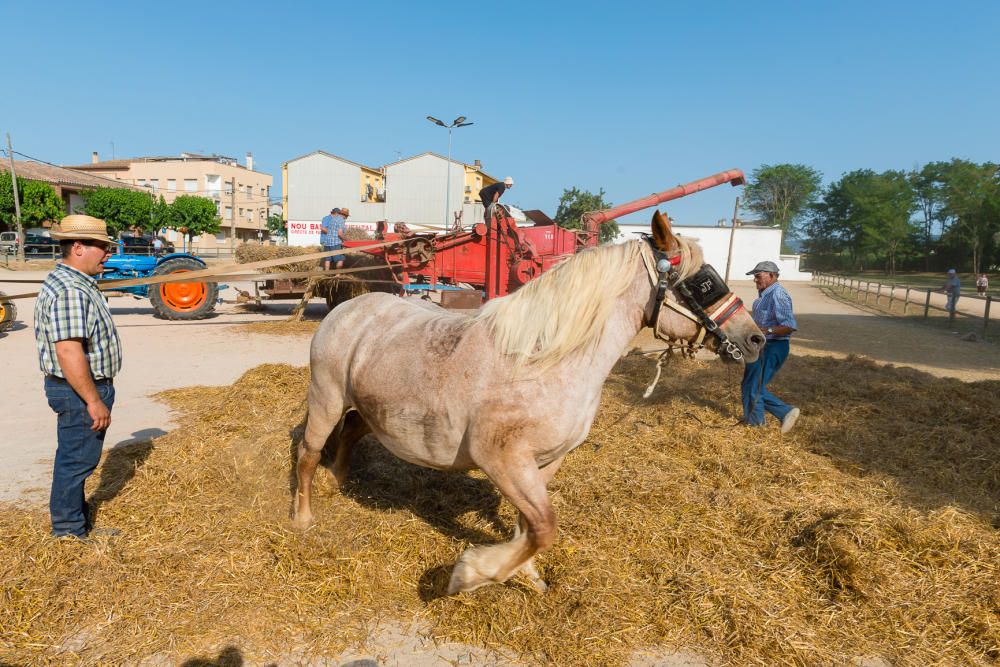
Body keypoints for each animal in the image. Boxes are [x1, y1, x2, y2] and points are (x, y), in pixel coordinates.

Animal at [292, 210, 760, 596]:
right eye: (704, 283)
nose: (755, 339)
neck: (545, 359)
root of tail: (349, 306)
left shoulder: (544, 461)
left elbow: (528, 526)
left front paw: (526, 575)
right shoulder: (504, 460)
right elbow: (545, 527)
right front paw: (474, 573)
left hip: (372, 407)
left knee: (353, 429)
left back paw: (340, 479)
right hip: (327, 398)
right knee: (308, 454)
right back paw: (303, 517)